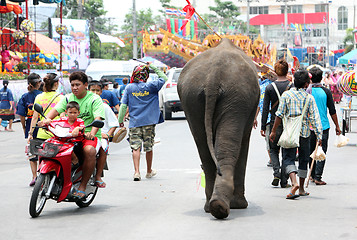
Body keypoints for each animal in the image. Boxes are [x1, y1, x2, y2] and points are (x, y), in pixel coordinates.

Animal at [177, 38, 258, 219]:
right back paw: (229, 206)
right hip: (237, 96)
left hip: (192, 98)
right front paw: (240, 205)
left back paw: (213, 206)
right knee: (229, 146)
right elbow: (245, 140)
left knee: (203, 147)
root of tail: (214, 76)